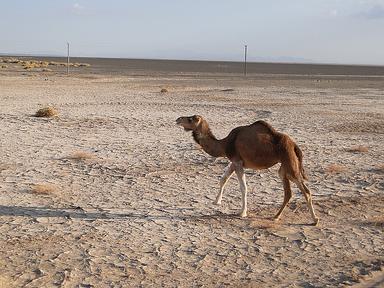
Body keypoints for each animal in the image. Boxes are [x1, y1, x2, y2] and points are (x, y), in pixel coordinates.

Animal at [176, 115, 318, 225]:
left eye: (190, 119)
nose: (178, 119)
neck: (225, 144)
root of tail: (294, 144)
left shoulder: (237, 162)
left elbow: (243, 187)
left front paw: (242, 212)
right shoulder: (234, 162)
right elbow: (223, 179)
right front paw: (217, 201)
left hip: (289, 161)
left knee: (306, 191)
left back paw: (315, 220)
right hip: (284, 167)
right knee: (288, 192)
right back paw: (276, 216)